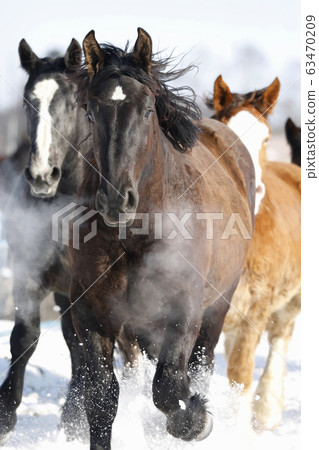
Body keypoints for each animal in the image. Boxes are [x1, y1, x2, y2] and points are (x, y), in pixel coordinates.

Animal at [69, 29, 256, 448]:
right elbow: (101, 400)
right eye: (90, 111)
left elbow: (170, 388)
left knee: (201, 363)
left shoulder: (183, 311)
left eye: (147, 111)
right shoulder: (92, 317)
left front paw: (198, 419)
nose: (116, 200)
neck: (134, 238)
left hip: (219, 305)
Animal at [206, 75, 302, 430]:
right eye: (224, 133)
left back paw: (268, 410)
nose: (254, 187)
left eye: (265, 138)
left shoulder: (256, 310)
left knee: (281, 335)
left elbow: (240, 381)